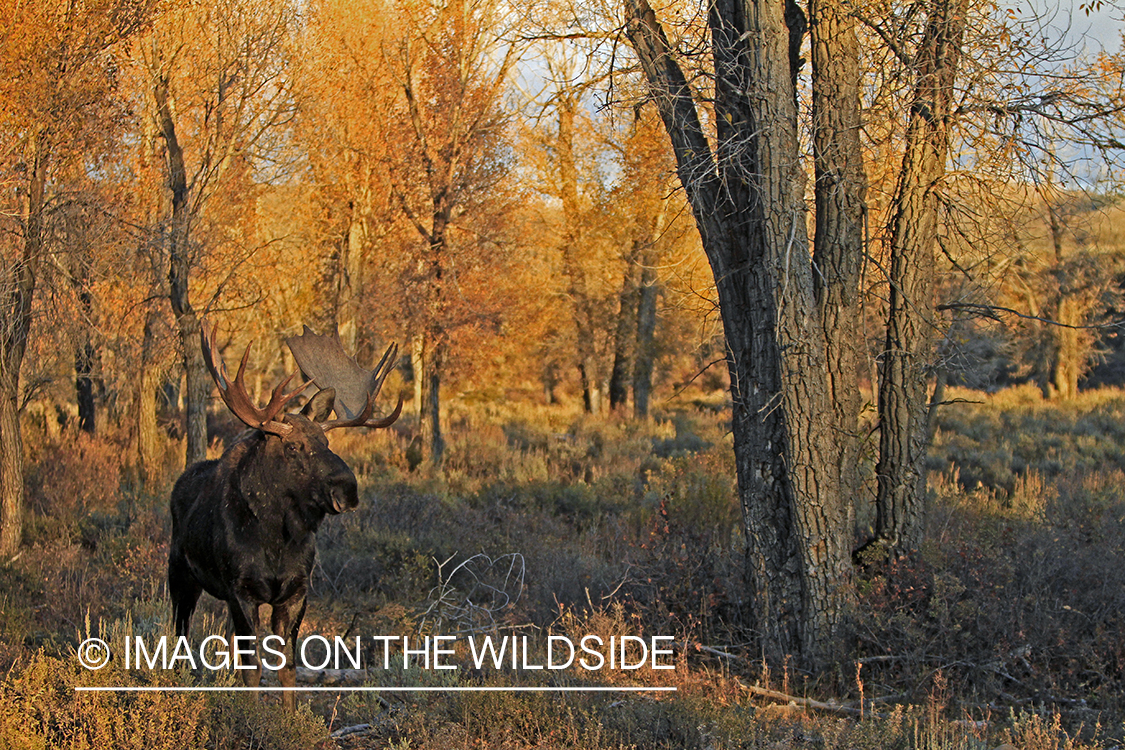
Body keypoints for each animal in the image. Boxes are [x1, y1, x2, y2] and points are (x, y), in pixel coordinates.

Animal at [168, 321, 402, 711]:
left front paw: (289, 717)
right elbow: (252, 667)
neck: (276, 540)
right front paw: (250, 716)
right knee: (178, 635)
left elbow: (288, 665)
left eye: (327, 444)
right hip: (179, 575)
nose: (347, 490)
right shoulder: (241, 592)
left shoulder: (296, 592)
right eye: (293, 447)